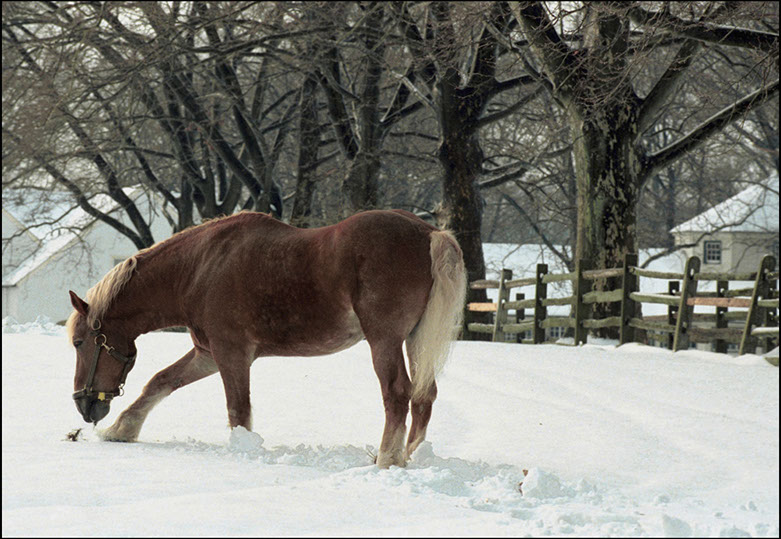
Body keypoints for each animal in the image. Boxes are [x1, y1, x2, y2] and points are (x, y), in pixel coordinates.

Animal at [67, 209, 467, 468]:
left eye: (78, 342)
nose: (85, 405)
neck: (198, 268)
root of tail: (430, 234)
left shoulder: (231, 354)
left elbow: (237, 408)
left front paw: (242, 452)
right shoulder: (207, 354)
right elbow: (160, 381)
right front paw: (121, 429)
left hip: (384, 340)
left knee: (397, 393)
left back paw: (386, 459)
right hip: (416, 339)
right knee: (424, 395)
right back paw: (409, 455)